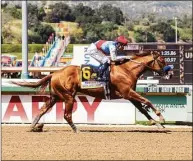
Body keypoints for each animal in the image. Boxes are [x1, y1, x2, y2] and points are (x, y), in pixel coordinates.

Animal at [12, 50, 172, 132]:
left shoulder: (129, 95)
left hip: (55, 96)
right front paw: (161, 118)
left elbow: (143, 109)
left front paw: (158, 124)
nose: (169, 73)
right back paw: (76, 129)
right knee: (66, 115)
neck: (127, 70)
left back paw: (33, 126)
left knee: (43, 109)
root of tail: (55, 73)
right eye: (162, 60)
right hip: (68, 96)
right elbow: (147, 101)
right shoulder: (127, 92)